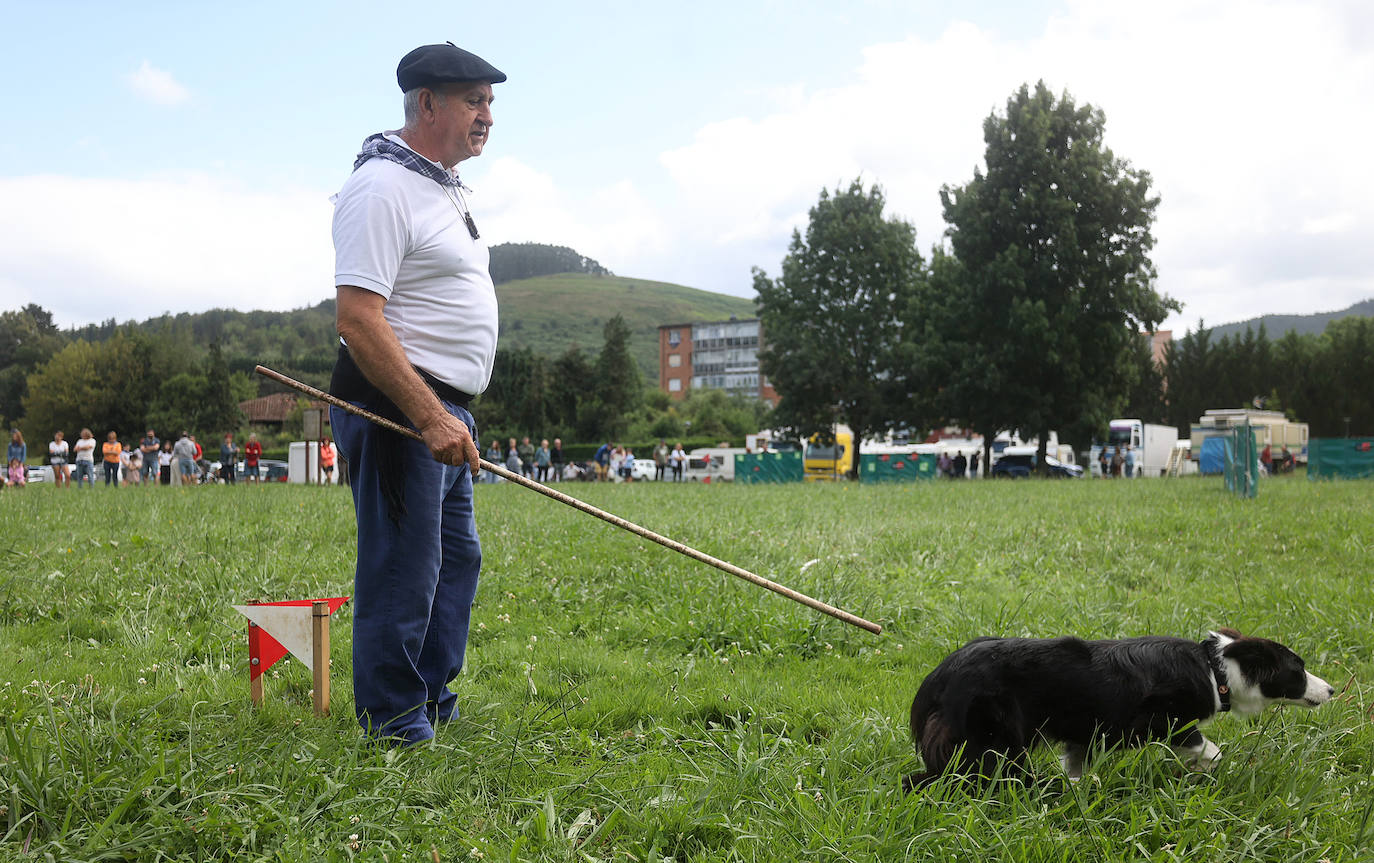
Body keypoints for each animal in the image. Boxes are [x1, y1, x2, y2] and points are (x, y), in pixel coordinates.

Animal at [901, 626, 1330, 791]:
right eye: (1298, 670)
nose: (1331, 689)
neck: (1215, 669)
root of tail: (937, 678)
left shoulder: (1083, 734)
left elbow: (1077, 765)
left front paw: (1080, 790)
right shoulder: (1159, 715)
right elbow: (1206, 746)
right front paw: (1203, 766)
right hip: (993, 740)